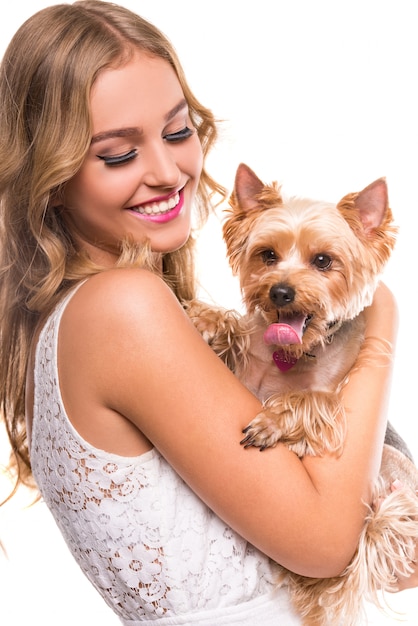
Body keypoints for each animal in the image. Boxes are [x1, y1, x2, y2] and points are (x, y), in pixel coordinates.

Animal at [188, 163, 418, 620]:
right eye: (267, 255)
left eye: (323, 261)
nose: (280, 291)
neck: (291, 354)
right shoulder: (245, 369)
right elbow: (238, 330)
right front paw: (207, 320)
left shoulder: (334, 406)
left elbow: (310, 400)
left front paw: (272, 422)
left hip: (390, 465)